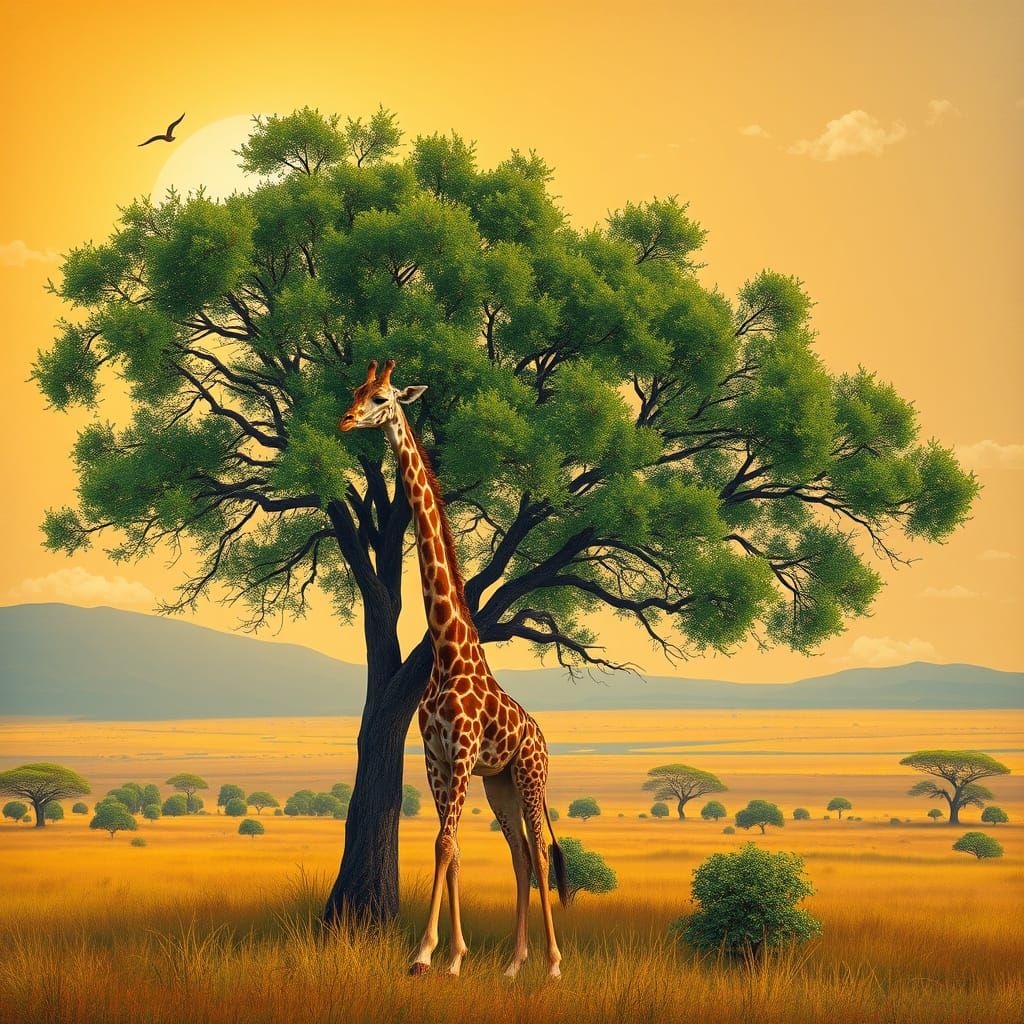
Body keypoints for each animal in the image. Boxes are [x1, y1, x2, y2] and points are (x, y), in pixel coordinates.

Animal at [339, 359, 568, 979]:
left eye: (383, 398)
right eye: (356, 390)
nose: (345, 420)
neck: (447, 653)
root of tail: (542, 736)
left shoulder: (462, 753)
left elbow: (446, 844)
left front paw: (424, 954)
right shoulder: (437, 757)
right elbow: (451, 845)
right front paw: (453, 956)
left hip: (530, 776)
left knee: (541, 851)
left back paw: (553, 964)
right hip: (501, 784)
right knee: (518, 853)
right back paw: (513, 965)